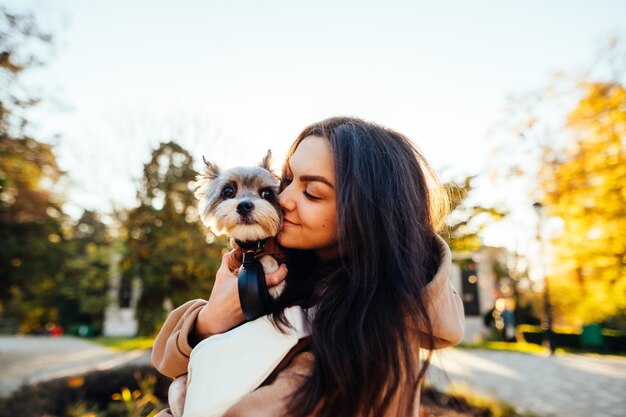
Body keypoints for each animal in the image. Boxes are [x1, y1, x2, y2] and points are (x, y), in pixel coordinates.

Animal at [165, 151, 284, 416]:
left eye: (267, 194)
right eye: (229, 191)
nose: (244, 205)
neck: (251, 250)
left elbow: (270, 258)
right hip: (176, 387)